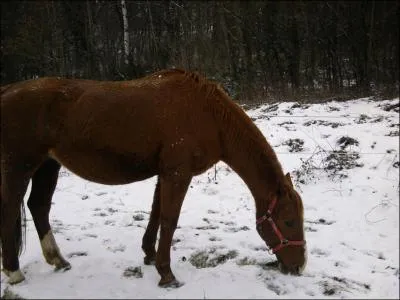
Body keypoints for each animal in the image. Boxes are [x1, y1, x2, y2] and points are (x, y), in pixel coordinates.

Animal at [0, 68, 306, 288]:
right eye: (289, 221)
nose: (299, 266)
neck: (207, 114)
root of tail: (7, 90)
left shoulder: (165, 173)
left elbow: (156, 214)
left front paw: (149, 253)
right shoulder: (177, 174)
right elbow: (169, 221)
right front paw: (167, 274)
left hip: (47, 166)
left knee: (38, 206)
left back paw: (58, 260)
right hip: (20, 166)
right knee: (10, 209)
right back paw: (14, 272)